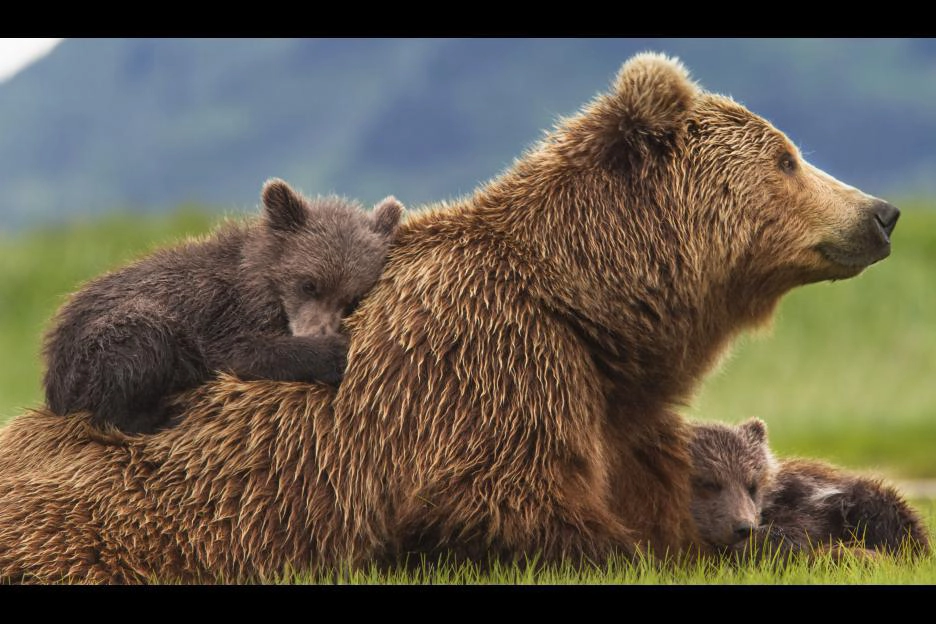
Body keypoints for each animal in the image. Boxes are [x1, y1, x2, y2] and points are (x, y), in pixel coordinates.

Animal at [41, 178, 404, 434]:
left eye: (351, 298)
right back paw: (163, 414)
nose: (318, 331)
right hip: (102, 344)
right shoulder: (222, 312)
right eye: (309, 283)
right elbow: (242, 353)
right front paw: (333, 352)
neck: (261, 281)